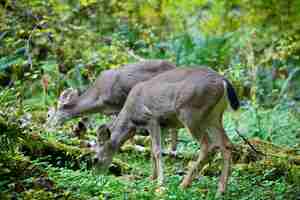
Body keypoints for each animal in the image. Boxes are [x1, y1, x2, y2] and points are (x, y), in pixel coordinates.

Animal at [94, 67, 239, 195]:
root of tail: (223, 81)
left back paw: (183, 185)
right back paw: (221, 190)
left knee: (207, 145)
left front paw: (160, 183)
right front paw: (151, 178)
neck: (130, 119)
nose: (97, 175)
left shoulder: (151, 119)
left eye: (95, 159)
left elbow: (157, 151)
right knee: (226, 144)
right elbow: (153, 151)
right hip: (213, 117)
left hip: (191, 113)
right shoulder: (163, 125)